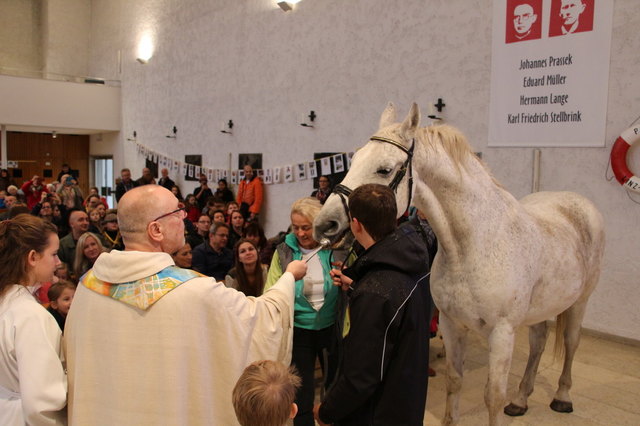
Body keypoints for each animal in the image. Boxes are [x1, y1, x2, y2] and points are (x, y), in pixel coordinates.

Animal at [316, 103, 604, 426]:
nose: (324, 224)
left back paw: (562, 396)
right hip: (540, 309)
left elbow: (494, 397)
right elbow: (454, 382)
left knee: (571, 342)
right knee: (539, 343)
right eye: (353, 160)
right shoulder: (452, 325)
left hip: (580, 301)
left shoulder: (502, 334)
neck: (472, 247)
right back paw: (520, 399)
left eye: (384, 169)